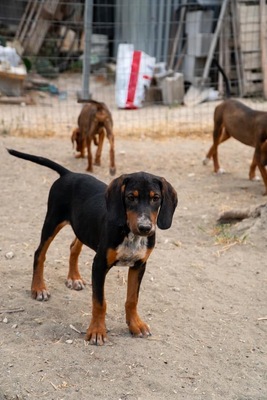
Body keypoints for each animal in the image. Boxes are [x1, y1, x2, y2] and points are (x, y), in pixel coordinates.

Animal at [7, 148, 179, 346]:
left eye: (156, 198)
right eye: (130, 197)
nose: (145, 228)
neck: (129, 232)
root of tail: (69, 174)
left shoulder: (139, 265)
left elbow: (132, 299)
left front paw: (135, 324)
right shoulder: (99, 265)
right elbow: (100, 302)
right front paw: (97, 331)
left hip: (82, 227)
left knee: (73, 247)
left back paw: (74, 278)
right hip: (52, 220)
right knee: (39, 253)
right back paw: (38, 288)